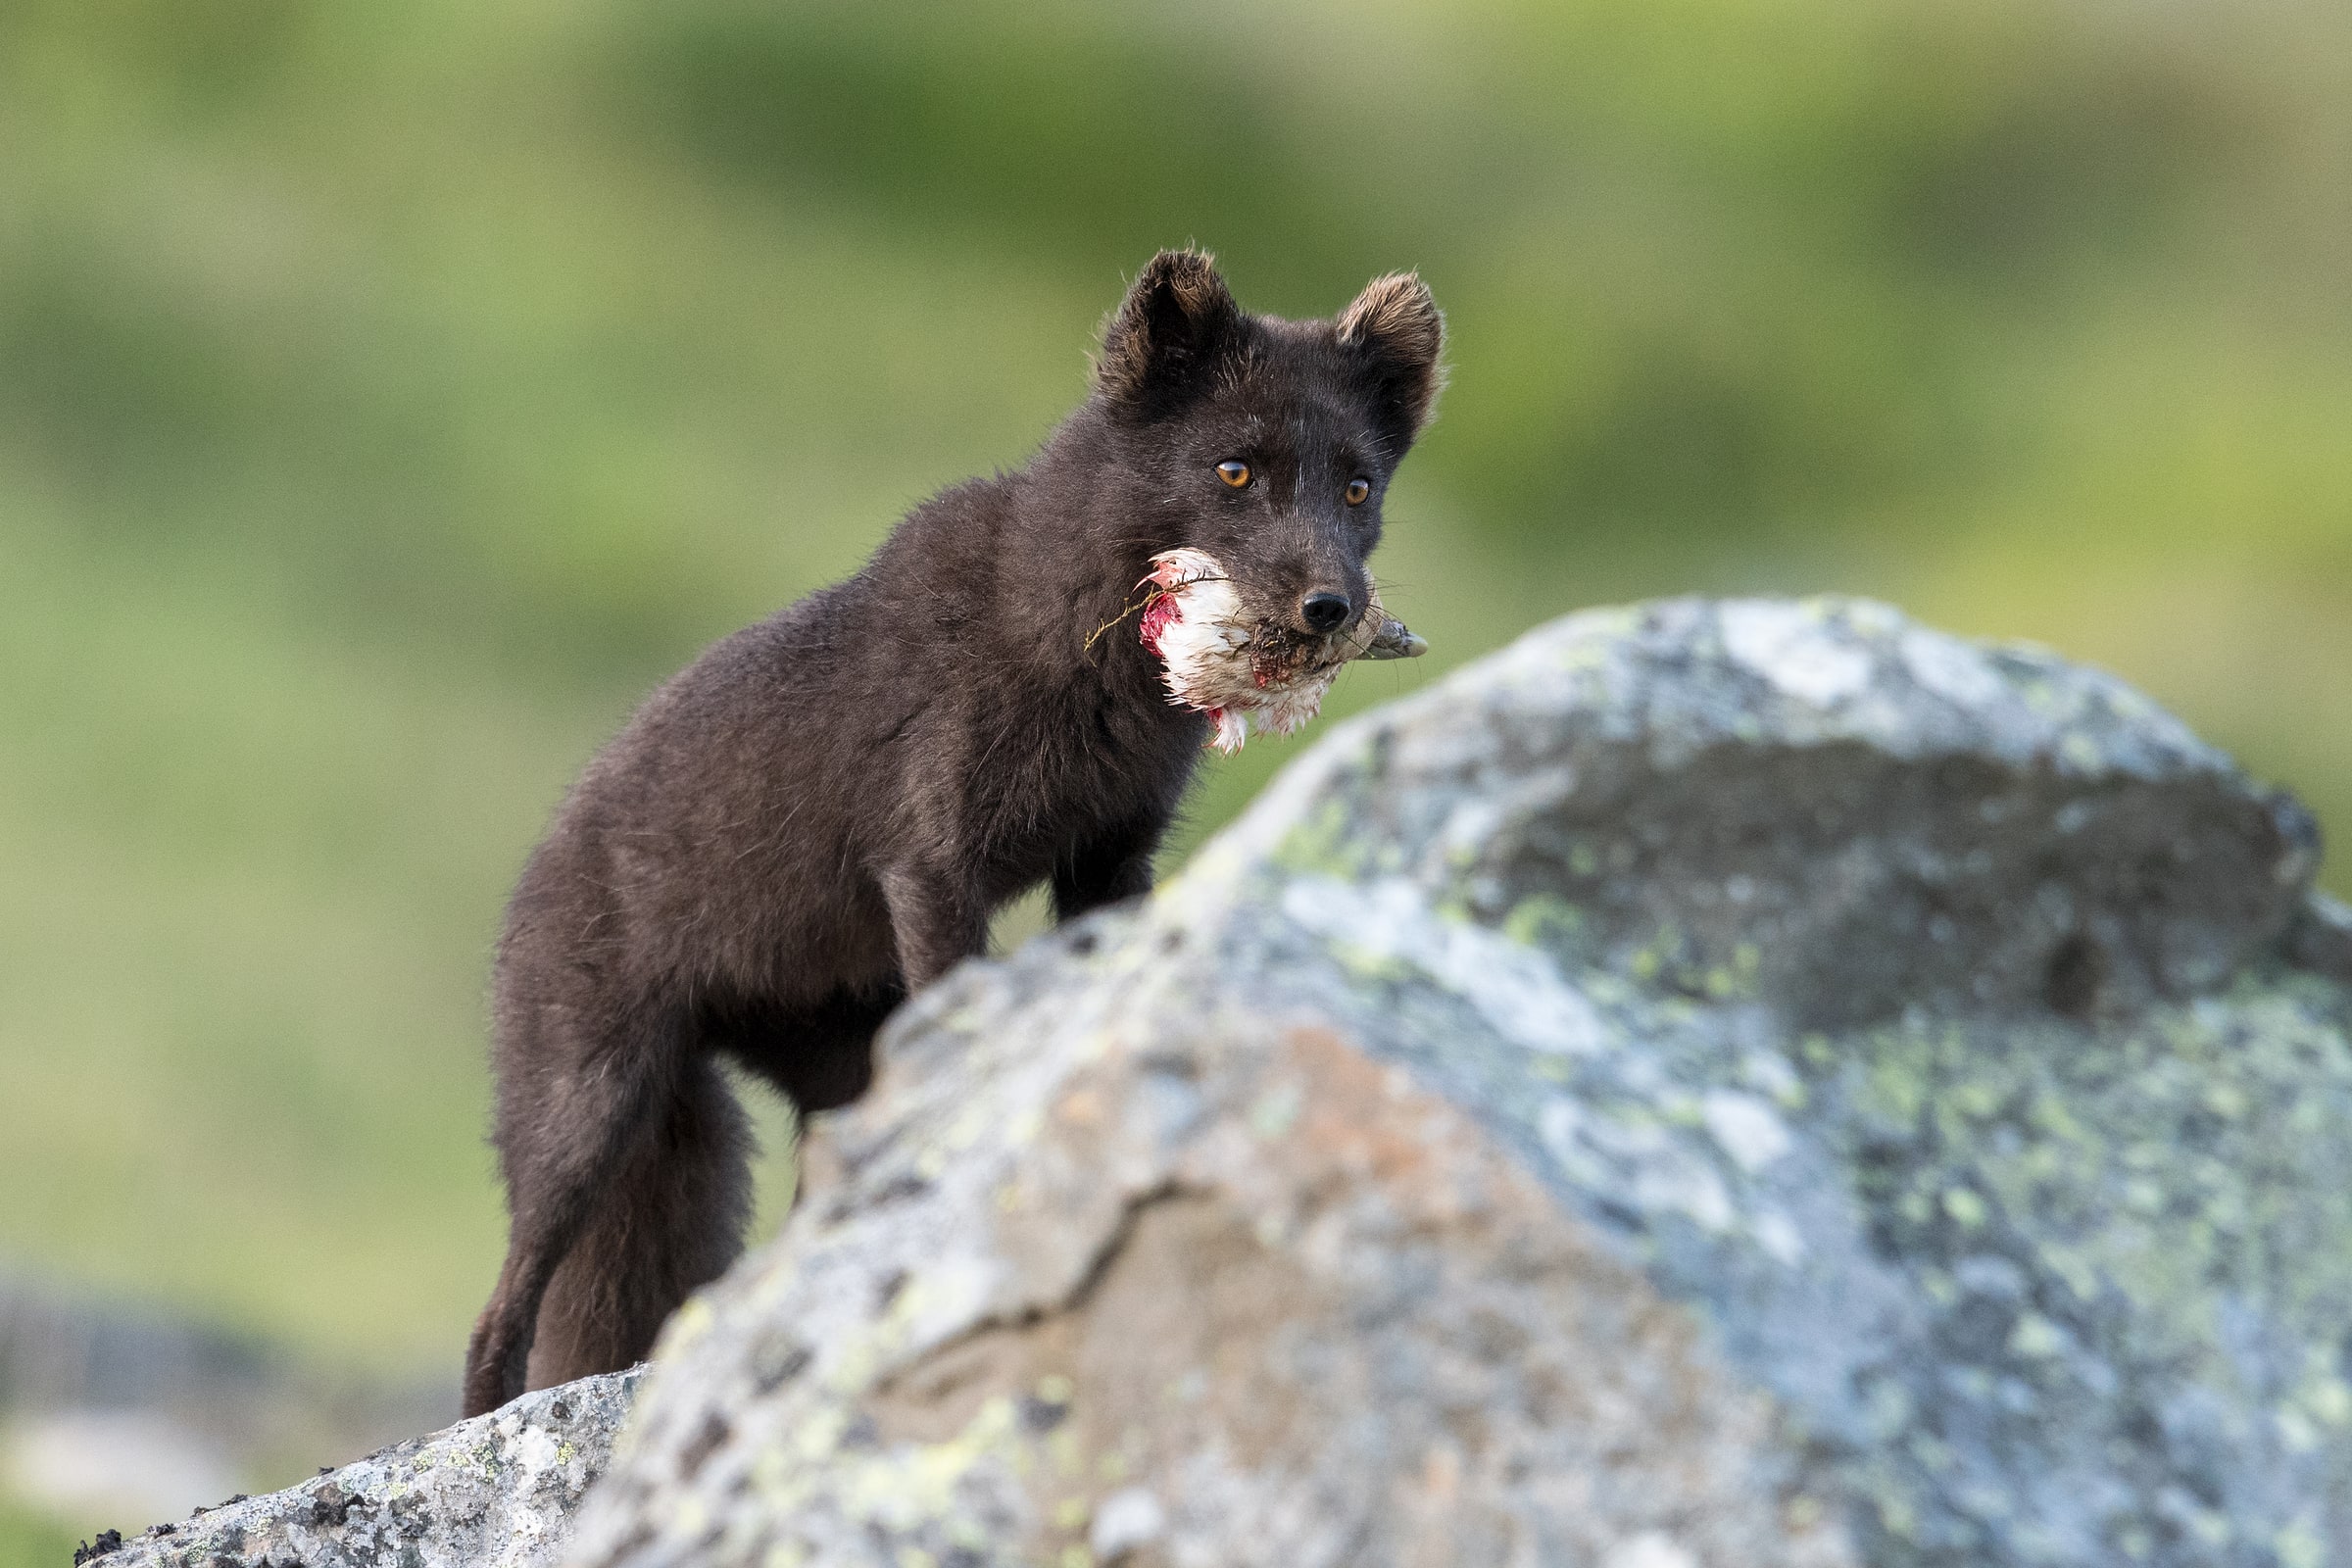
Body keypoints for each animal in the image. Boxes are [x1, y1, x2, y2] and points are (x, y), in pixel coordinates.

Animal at [461, 249, 1444, 1416]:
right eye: (1235, 470)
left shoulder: (1110, 856)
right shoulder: (933, 861)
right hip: (588, 1112)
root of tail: (532, 874)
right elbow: (959, 986)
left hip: (831, 1067)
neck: (1085, 663)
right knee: (501, 1310)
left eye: (1359, 486)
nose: (1329, 607)